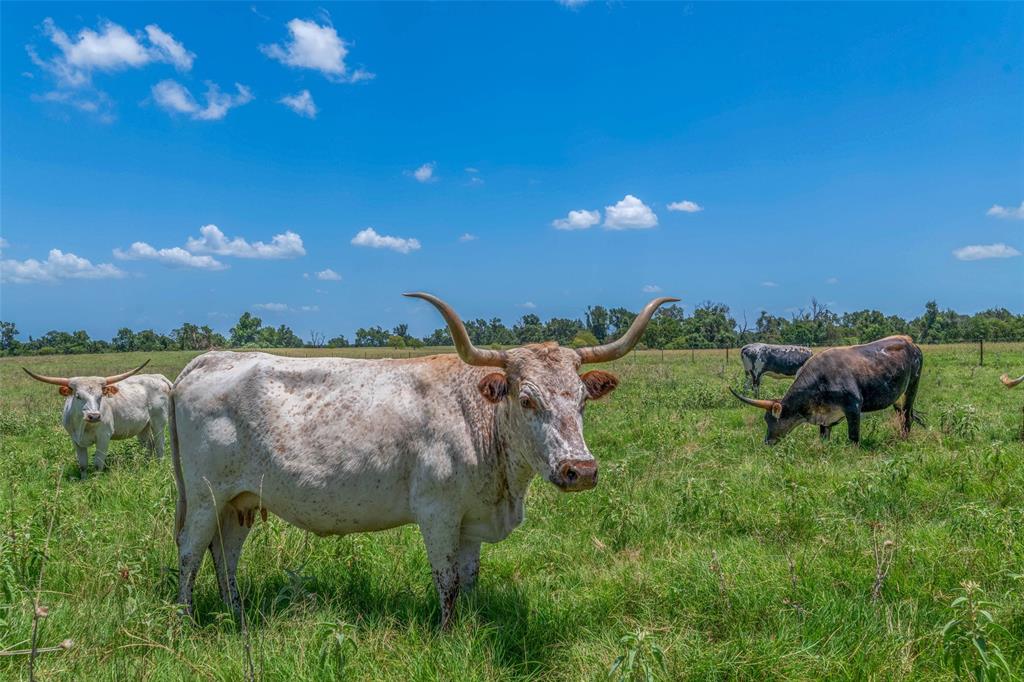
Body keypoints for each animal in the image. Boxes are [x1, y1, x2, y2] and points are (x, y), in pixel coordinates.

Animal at [23, 358, 172, 475]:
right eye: (78, 396)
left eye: (100, 396)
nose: (94, 416)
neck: (82, 425)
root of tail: (157, 376)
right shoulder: (75, 439)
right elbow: (83, 464)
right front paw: (84, 481)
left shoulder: (104, 436)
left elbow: (97, 464)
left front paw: (96, 481)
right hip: (142, 426)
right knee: (149, 445)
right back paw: (147, 465)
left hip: (158, 421)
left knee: (160, 444)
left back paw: (159, 465)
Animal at [172, 288, 675, 622]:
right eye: (527, 399)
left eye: (583, 399)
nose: (580, 470)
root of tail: (209, 359)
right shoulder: (437, 514)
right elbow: (447, 582)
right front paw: (449, 634)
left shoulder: (472, 521)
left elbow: (469, 580)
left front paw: (470, 626)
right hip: (203, 496)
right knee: (190, 550)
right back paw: (186, 620)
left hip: (240, 500)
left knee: (226, 554)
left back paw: (236, 616)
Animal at [733, 333, 925, 440]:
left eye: (772, 420)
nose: (767, 442)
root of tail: (909, 340)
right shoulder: (825, 418)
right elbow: (824, 438)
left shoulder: (853, 408)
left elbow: (853, 438)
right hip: (896, 395)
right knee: (902, 413)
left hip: (912, 388)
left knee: (906, 415)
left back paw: (904, 439)